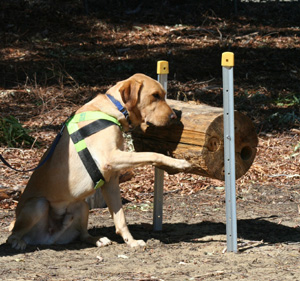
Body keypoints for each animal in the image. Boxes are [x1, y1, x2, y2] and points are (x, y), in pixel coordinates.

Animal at [8, 73, 191, 248]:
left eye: (164, 95)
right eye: (155, 95)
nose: (174, 117)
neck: (113, 110)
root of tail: (48, 239)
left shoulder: (111, 181)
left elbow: (120, 219)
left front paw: (131, 242)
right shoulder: (110, 157)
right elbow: (152, 154)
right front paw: (178, 163)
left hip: (82, 206)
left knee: (82, 235)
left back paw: (97, 239)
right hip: (38, 205)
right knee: (14, 233)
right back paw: (18, 242)